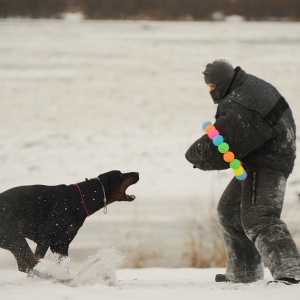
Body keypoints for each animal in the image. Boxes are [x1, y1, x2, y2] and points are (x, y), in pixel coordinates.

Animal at [0, 170, 139, 274]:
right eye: (121, 174)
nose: (137, 173)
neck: (82, 198)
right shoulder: (45, 238)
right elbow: (38, 258)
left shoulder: (61, 244)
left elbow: (63, 266)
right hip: (16, 238)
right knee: (31, 262)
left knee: (24, 265)